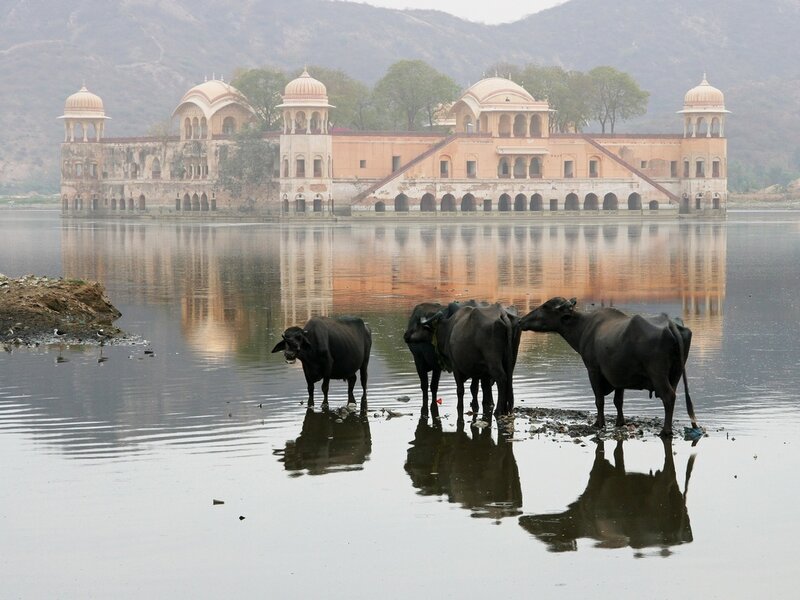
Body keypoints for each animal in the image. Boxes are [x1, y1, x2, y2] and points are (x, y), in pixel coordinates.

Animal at [519, 297, 697, 437]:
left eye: (545, 306)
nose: (521, 321)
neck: (583, 327)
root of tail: (670, 325)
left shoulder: (593, 369)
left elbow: (599, 400)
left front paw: (599, 423)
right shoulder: (619, 375)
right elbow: (618, 401)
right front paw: (620, 422)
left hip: (657, 373)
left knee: (669, 396)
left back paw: (665, 431)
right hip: (676, 373)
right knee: (673, 396)